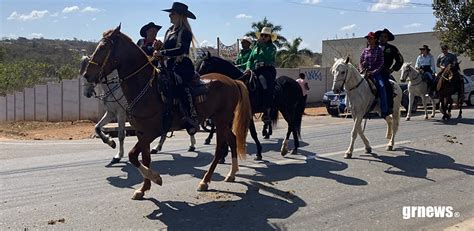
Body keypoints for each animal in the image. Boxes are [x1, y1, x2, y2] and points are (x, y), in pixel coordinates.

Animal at [81, 24, 252, 199]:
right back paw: (231, 174)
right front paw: (143, 188)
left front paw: (156, 178)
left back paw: (205, 180)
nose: (87, 75)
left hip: (221, 119)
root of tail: (233, 81)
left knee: (219, 149)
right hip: (222, 121)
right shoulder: (141, 132)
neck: (147, 88)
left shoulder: (151, 131)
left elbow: (132, 155)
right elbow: (145, 158)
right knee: (232, 139)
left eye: (103, 47)